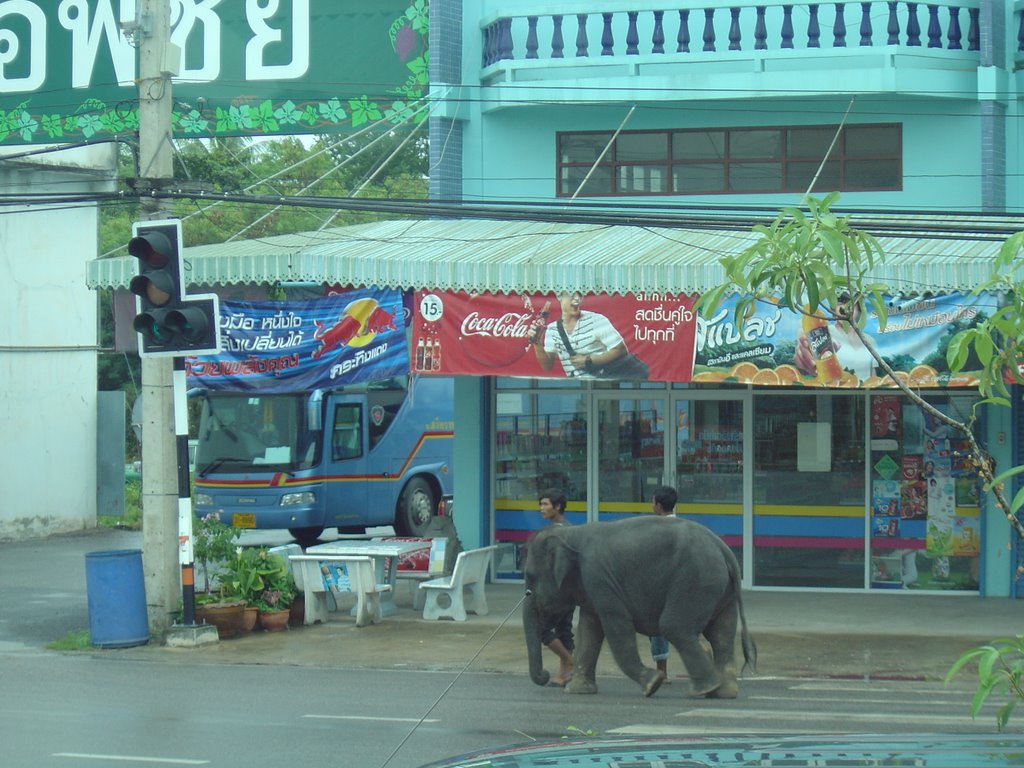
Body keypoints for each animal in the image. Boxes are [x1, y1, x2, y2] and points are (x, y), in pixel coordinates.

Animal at [524, 518, 757, 696]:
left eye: (530, 578)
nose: (545, 676)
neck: (570, 532)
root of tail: (723, 549)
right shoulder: (592, 587)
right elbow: (589, 630)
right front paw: (578, 691)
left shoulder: (600, 580)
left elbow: (617, 628)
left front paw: (653, 684)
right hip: (721, 590)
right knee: (721, 636)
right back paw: (724, 692)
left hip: (696, 582)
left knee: (674, 627)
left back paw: (703, 690)